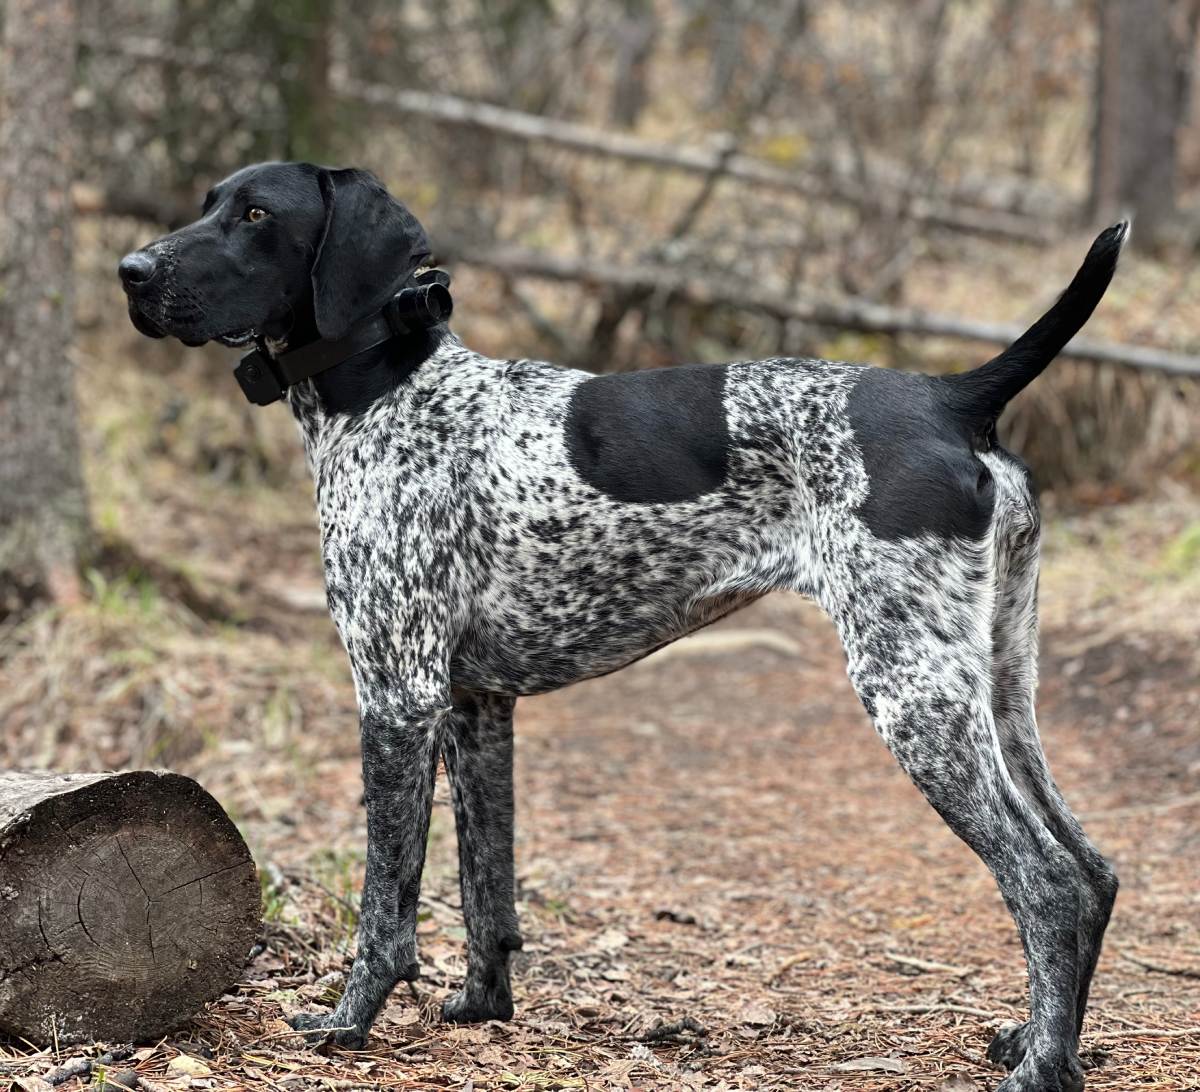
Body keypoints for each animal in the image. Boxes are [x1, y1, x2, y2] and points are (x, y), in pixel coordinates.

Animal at [121, 162, 1123, 1092]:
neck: (386, 390)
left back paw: (1043, 1068)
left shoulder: (398, 696)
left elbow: (388, 900)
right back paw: (1044, 1042)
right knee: (1095, 869)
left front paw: (349, 1020)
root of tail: (954, 396)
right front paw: (483, 1007)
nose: (131, 271)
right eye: (209, 203)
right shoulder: (475, 705)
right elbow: (486, 884)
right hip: (998, 693)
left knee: (1046, 881)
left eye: (257, 215)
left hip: (912, 694)